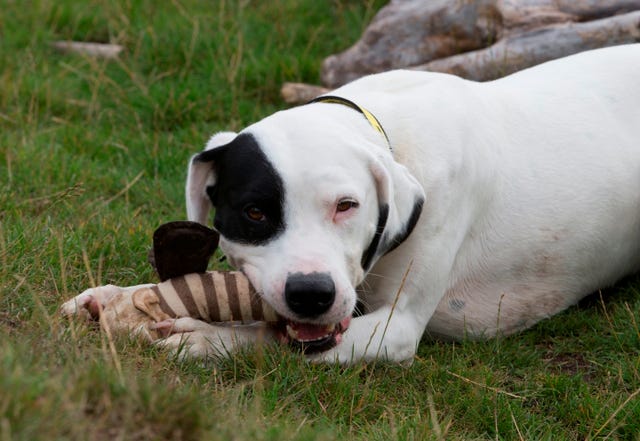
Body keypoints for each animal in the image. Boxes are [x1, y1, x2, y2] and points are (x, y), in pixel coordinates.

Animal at [62, 44, 640, 362]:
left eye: (347, 205)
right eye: (255, 212)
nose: (310, 294)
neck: (388, 126)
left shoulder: (395, 329)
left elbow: (269, 337)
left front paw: (206, 340)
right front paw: (114, 295)